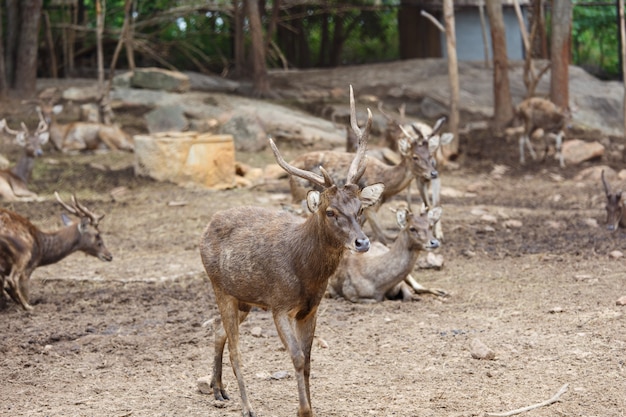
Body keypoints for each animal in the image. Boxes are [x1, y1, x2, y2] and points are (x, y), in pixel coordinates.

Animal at [200, 86, 386, 416]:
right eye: (330, 211)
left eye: (361, 208)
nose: (362, 242)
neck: (306, 273)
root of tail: (207, 225)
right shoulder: (279, 305)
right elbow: (297, 358)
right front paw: (304, 410)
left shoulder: (311, 308)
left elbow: (309, 360)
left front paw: (311, 407)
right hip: (219, 286)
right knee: (235, 348)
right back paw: (247, 406)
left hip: (243, 298)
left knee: (218, 330)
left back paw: (219, 389)